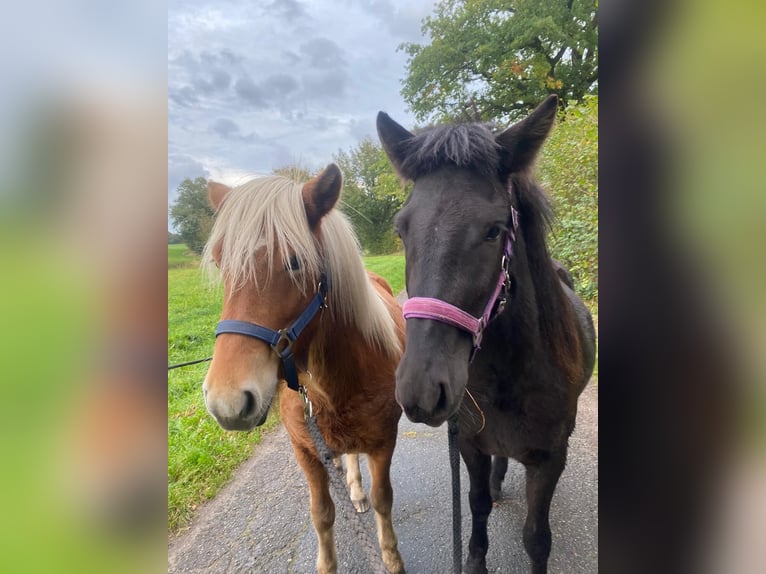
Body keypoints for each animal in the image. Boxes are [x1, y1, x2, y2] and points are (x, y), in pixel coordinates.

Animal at [202, 165, 408, 574]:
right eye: (220, 262)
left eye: (295, 261)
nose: (226, 401)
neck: (332, 387)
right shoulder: (306, 451)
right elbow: (322, 513)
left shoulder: (384, 443)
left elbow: (383, 500)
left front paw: (392, 558)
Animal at [380, 97, 600, 572]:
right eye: (401, 228)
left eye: (494, 230)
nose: (420, 389)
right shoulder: (469, 445)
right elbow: (476, 504)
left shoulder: (550, 459)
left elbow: (536, 537)